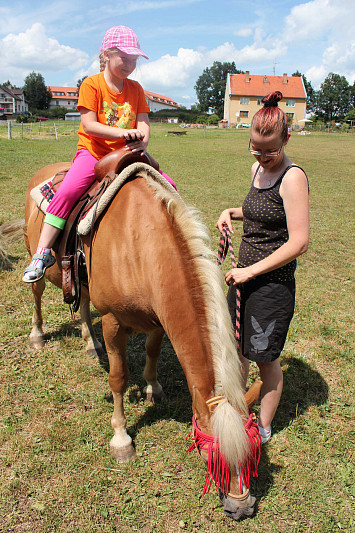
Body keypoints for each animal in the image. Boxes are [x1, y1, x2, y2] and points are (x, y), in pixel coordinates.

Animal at [23, 160, 262, 516]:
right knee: (37, 294)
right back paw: (38, 334)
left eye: (253, 451)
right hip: (37, 262)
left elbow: (152, 350)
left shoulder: (158, 319)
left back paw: (89, 343)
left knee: (83, 305)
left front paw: (153, 388)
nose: (242, 507)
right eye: (210, 453)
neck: (140, 243)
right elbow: (119, 378)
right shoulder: (112, 321)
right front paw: (121, 439)